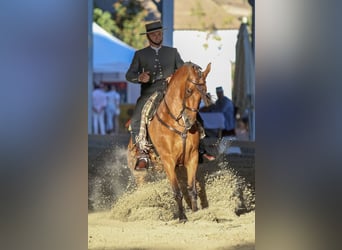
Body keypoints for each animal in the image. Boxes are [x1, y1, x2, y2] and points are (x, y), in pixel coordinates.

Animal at [127, 62, 211, 221]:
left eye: (204, 92)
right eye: (189, 90)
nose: (190, 121)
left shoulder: (192, 158)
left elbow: (191, 189)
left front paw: (196, 213)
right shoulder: (168, 160)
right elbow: (176, 191)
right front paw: (182, 217)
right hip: (139, 173)